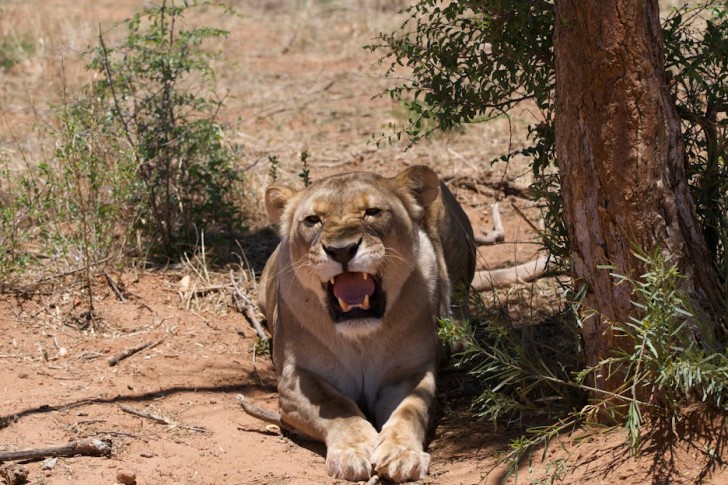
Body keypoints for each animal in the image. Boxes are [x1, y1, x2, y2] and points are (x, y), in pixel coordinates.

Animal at [257, 165, 476, 482]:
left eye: (372, 212)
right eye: (313, 220)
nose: (341, 250)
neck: (361, 338)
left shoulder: (410, 373)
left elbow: (410, 410)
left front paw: (402, 454)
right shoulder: (295, 377)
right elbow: (337, 406)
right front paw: (355, 450)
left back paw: (457, 339)